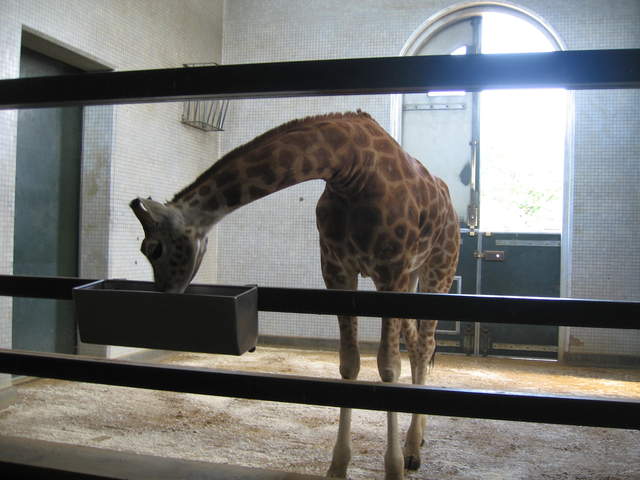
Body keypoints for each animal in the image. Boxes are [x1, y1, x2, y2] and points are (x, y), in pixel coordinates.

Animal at [130, 110, 460, 480]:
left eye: (153, 249)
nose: (165, 294)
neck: (351, 169)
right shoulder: (336, 269)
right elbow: (349, 364)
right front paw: (338, 466)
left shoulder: (392, 270)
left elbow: (389, 368)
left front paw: (394, 469)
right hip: (413, 277)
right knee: (418, 344)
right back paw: (416, 442)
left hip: (438, 267)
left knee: (426, 344)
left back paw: (413, 451)